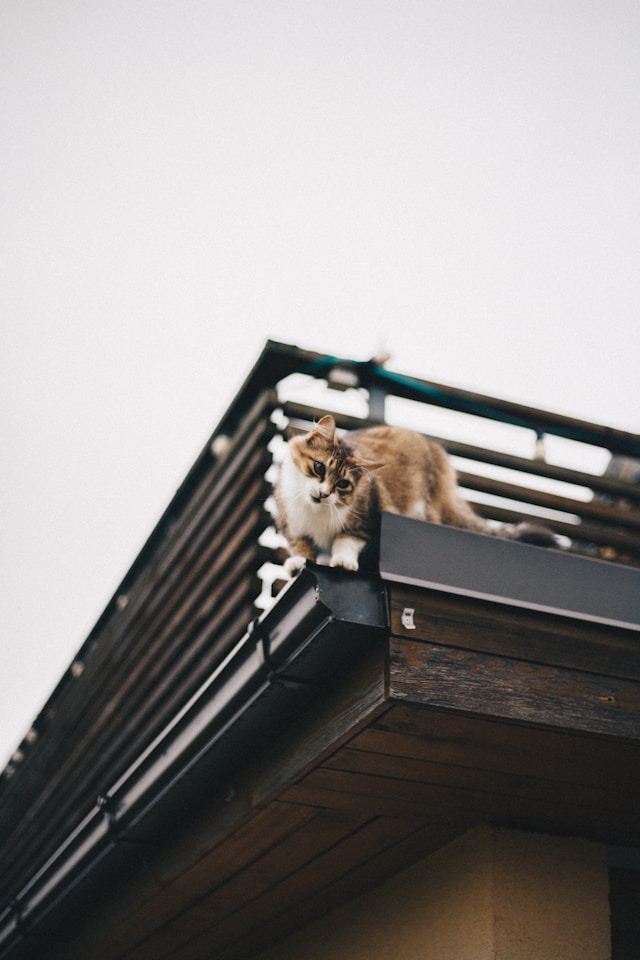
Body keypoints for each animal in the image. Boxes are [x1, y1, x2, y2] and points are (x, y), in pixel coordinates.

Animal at [272, 410, 564, 568]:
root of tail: (435, 449)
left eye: (343, 484)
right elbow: (301, 547)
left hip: (424, 507)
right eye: (319, 467)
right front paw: (299, 564)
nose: (323, 494)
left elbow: (346, 541)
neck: (315, 513)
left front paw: (342, 561)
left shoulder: (367, 518)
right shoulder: (291, 526)